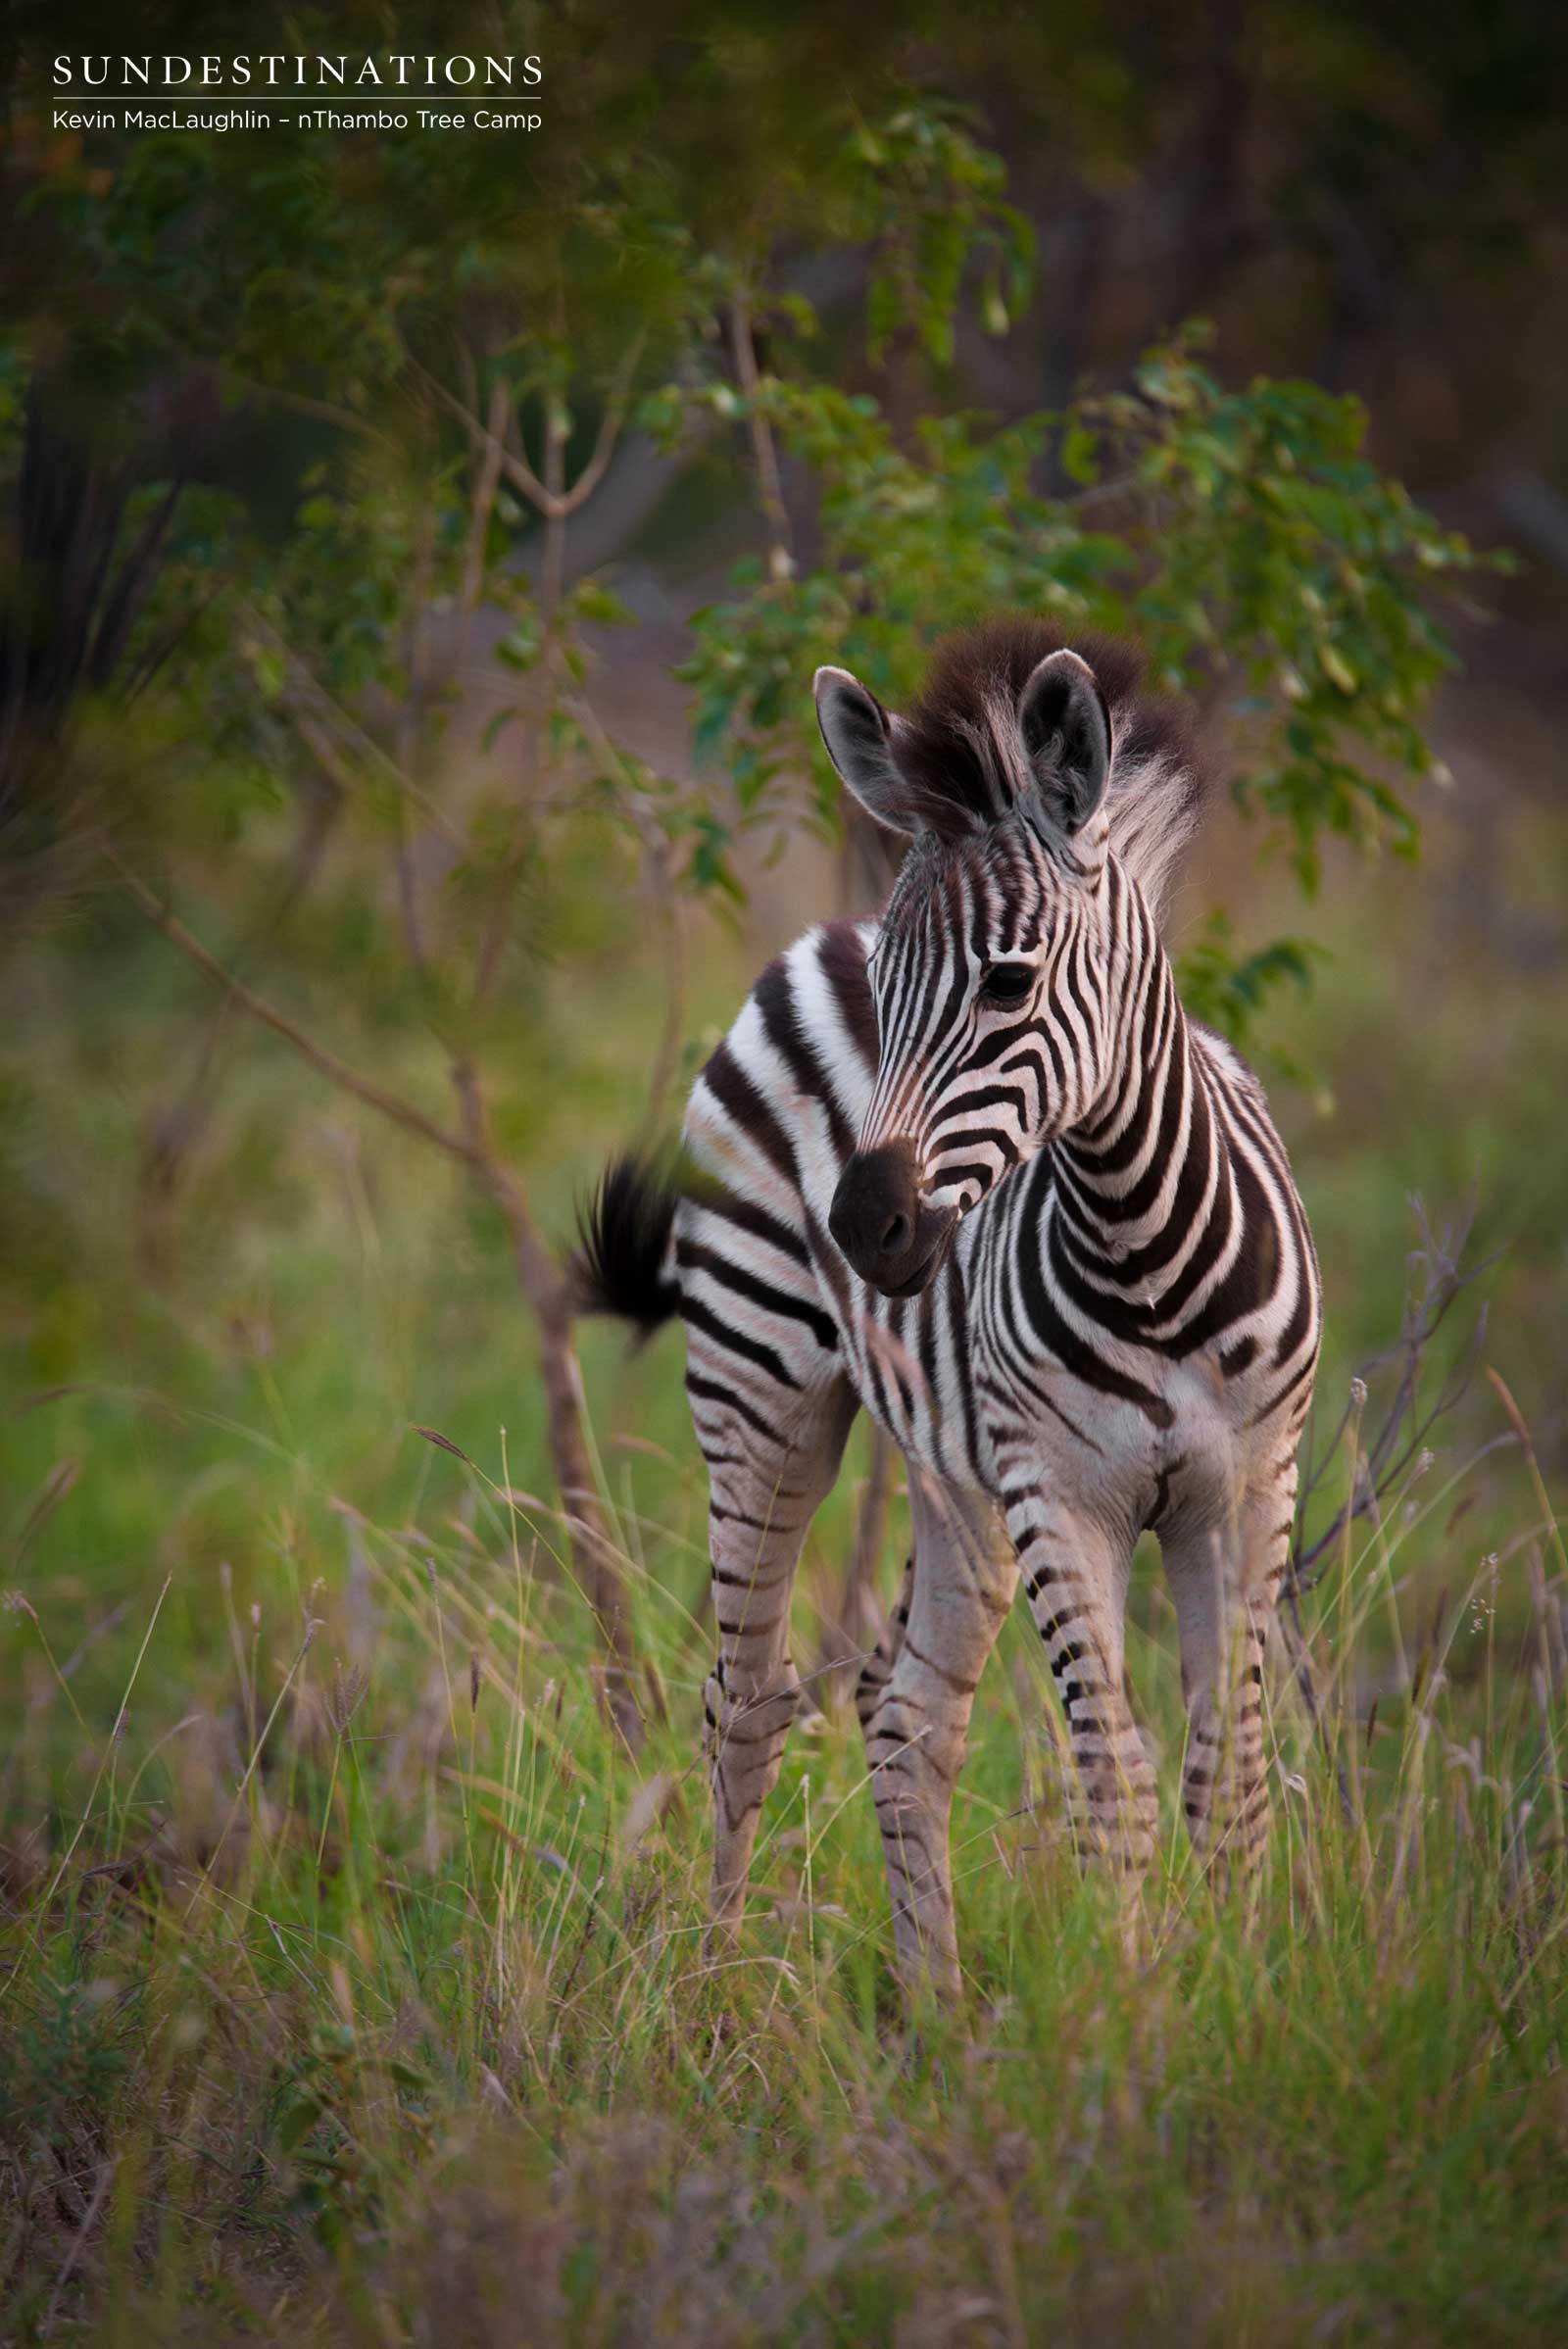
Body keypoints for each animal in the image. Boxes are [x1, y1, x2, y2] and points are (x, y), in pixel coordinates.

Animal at [577, 619, 1321, 1998]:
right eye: (894, 990)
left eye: (1008, 984)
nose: (863, 1226)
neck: (1146, 1252)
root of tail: (819, 933)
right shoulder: (1063, 1492)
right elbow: (1116, 1783)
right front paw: (1129, 2014)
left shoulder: (1247, 1486)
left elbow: (1229, 1777)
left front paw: (1245, 2002)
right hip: (760, 1394)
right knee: (744, 1701)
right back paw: (714, 1984)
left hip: (954, 1476)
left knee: (904, 1711)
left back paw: (931, 2003)